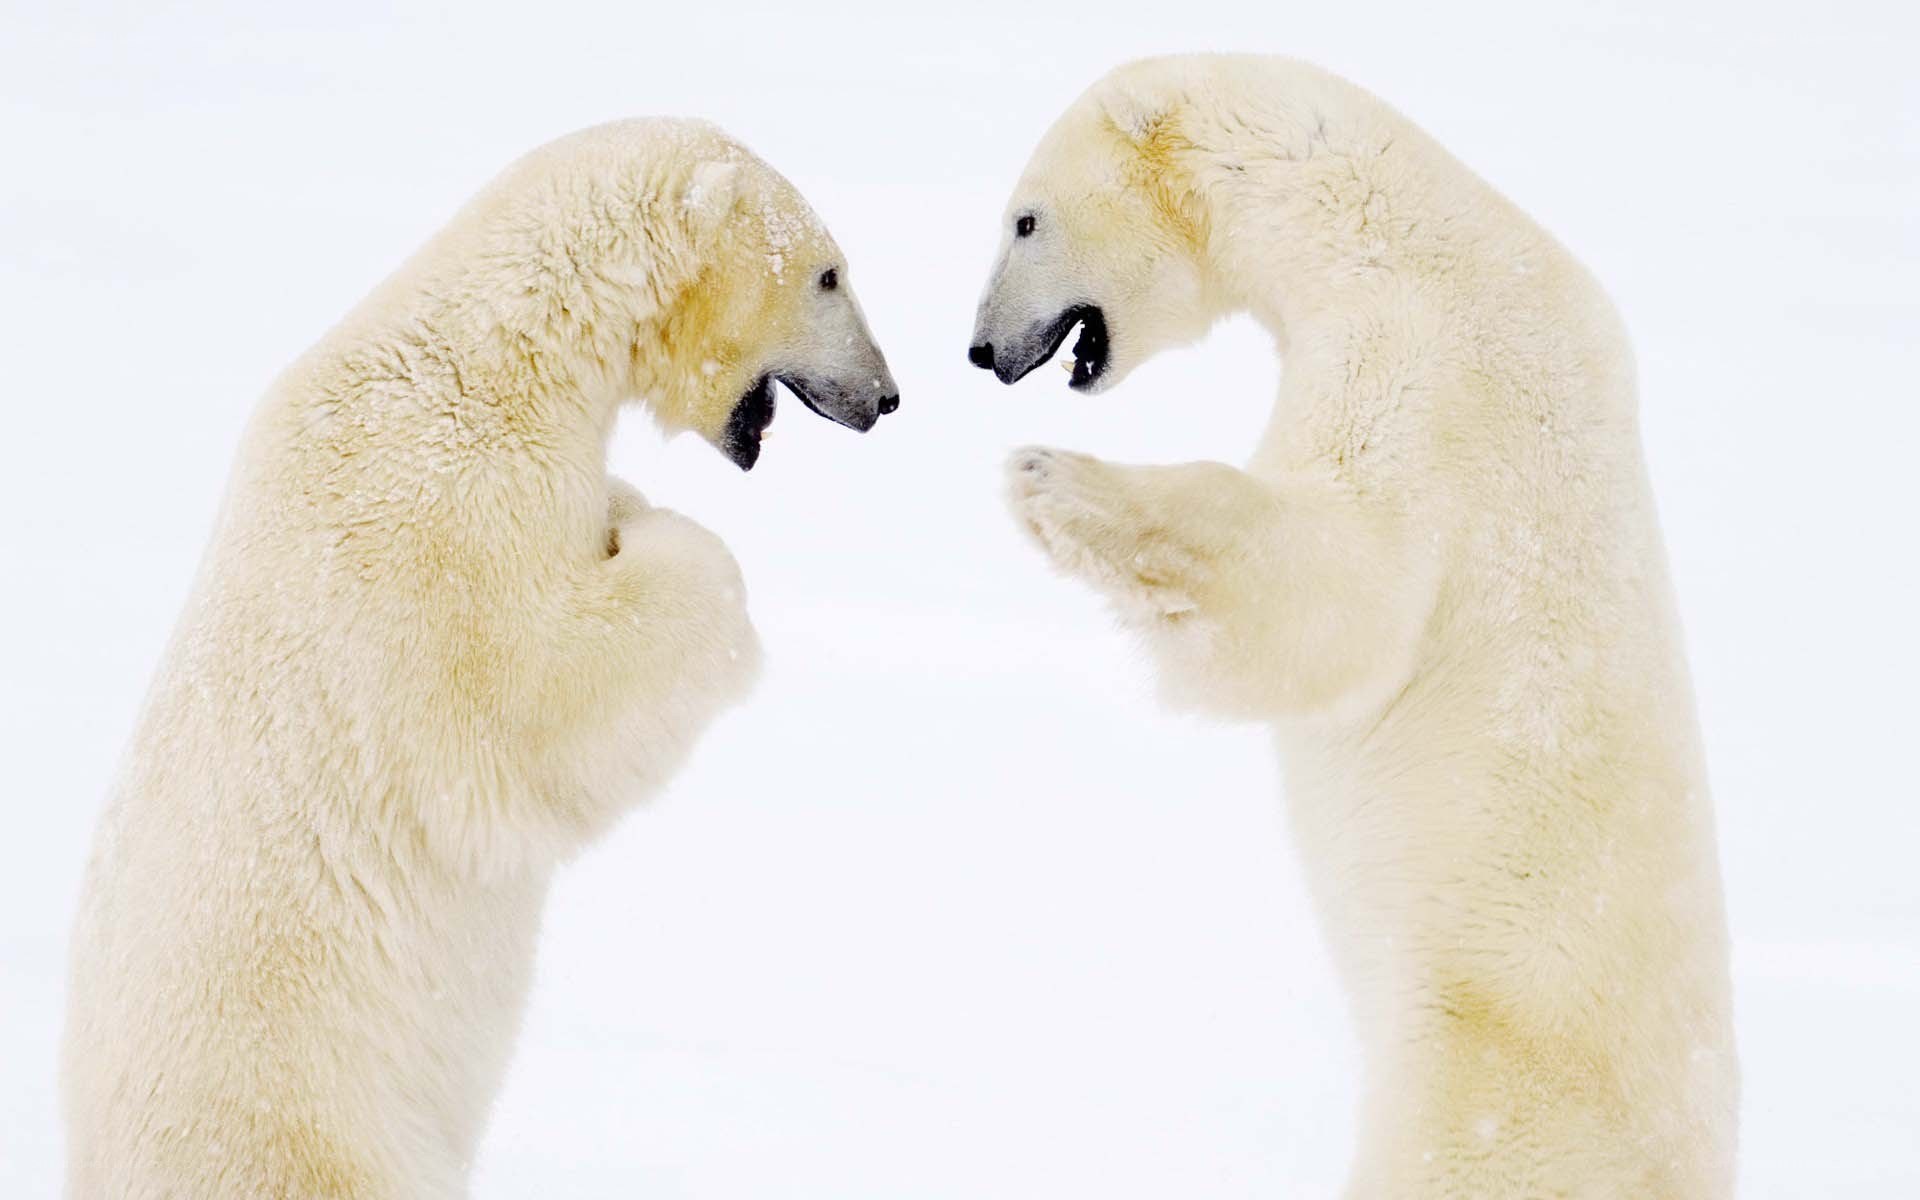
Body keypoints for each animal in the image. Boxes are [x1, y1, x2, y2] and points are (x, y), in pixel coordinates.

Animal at [62, 118, 897, 1199]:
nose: (887, 395)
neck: (498, 354)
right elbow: (534, 704)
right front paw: (661, 538)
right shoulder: (444, 517)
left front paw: (626, 505)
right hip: (309, 1128)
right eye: (830, 273)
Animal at [968, 55, 1737, 1198]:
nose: (980, 349)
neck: (1393, 226)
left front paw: (1054, 481)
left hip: (1482, 1085)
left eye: (1023, 218)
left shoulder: (1429, 370)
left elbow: (1344, 592)